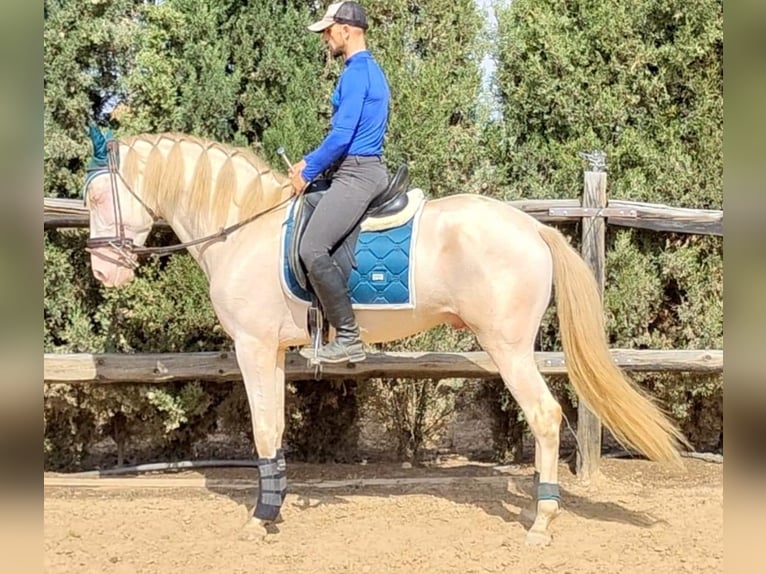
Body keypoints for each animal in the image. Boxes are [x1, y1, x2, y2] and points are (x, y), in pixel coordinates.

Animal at [81, 128, 688, 548]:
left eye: (96, 199)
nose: (104, 274)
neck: (246, 229)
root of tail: (534, 227)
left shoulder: (252, 346)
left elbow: (262, 429)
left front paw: (260, 519)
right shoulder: (270, 351)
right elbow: (274, 429)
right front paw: (273, 508)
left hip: (509, 348)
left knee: (544, 415)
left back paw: (541, 522)